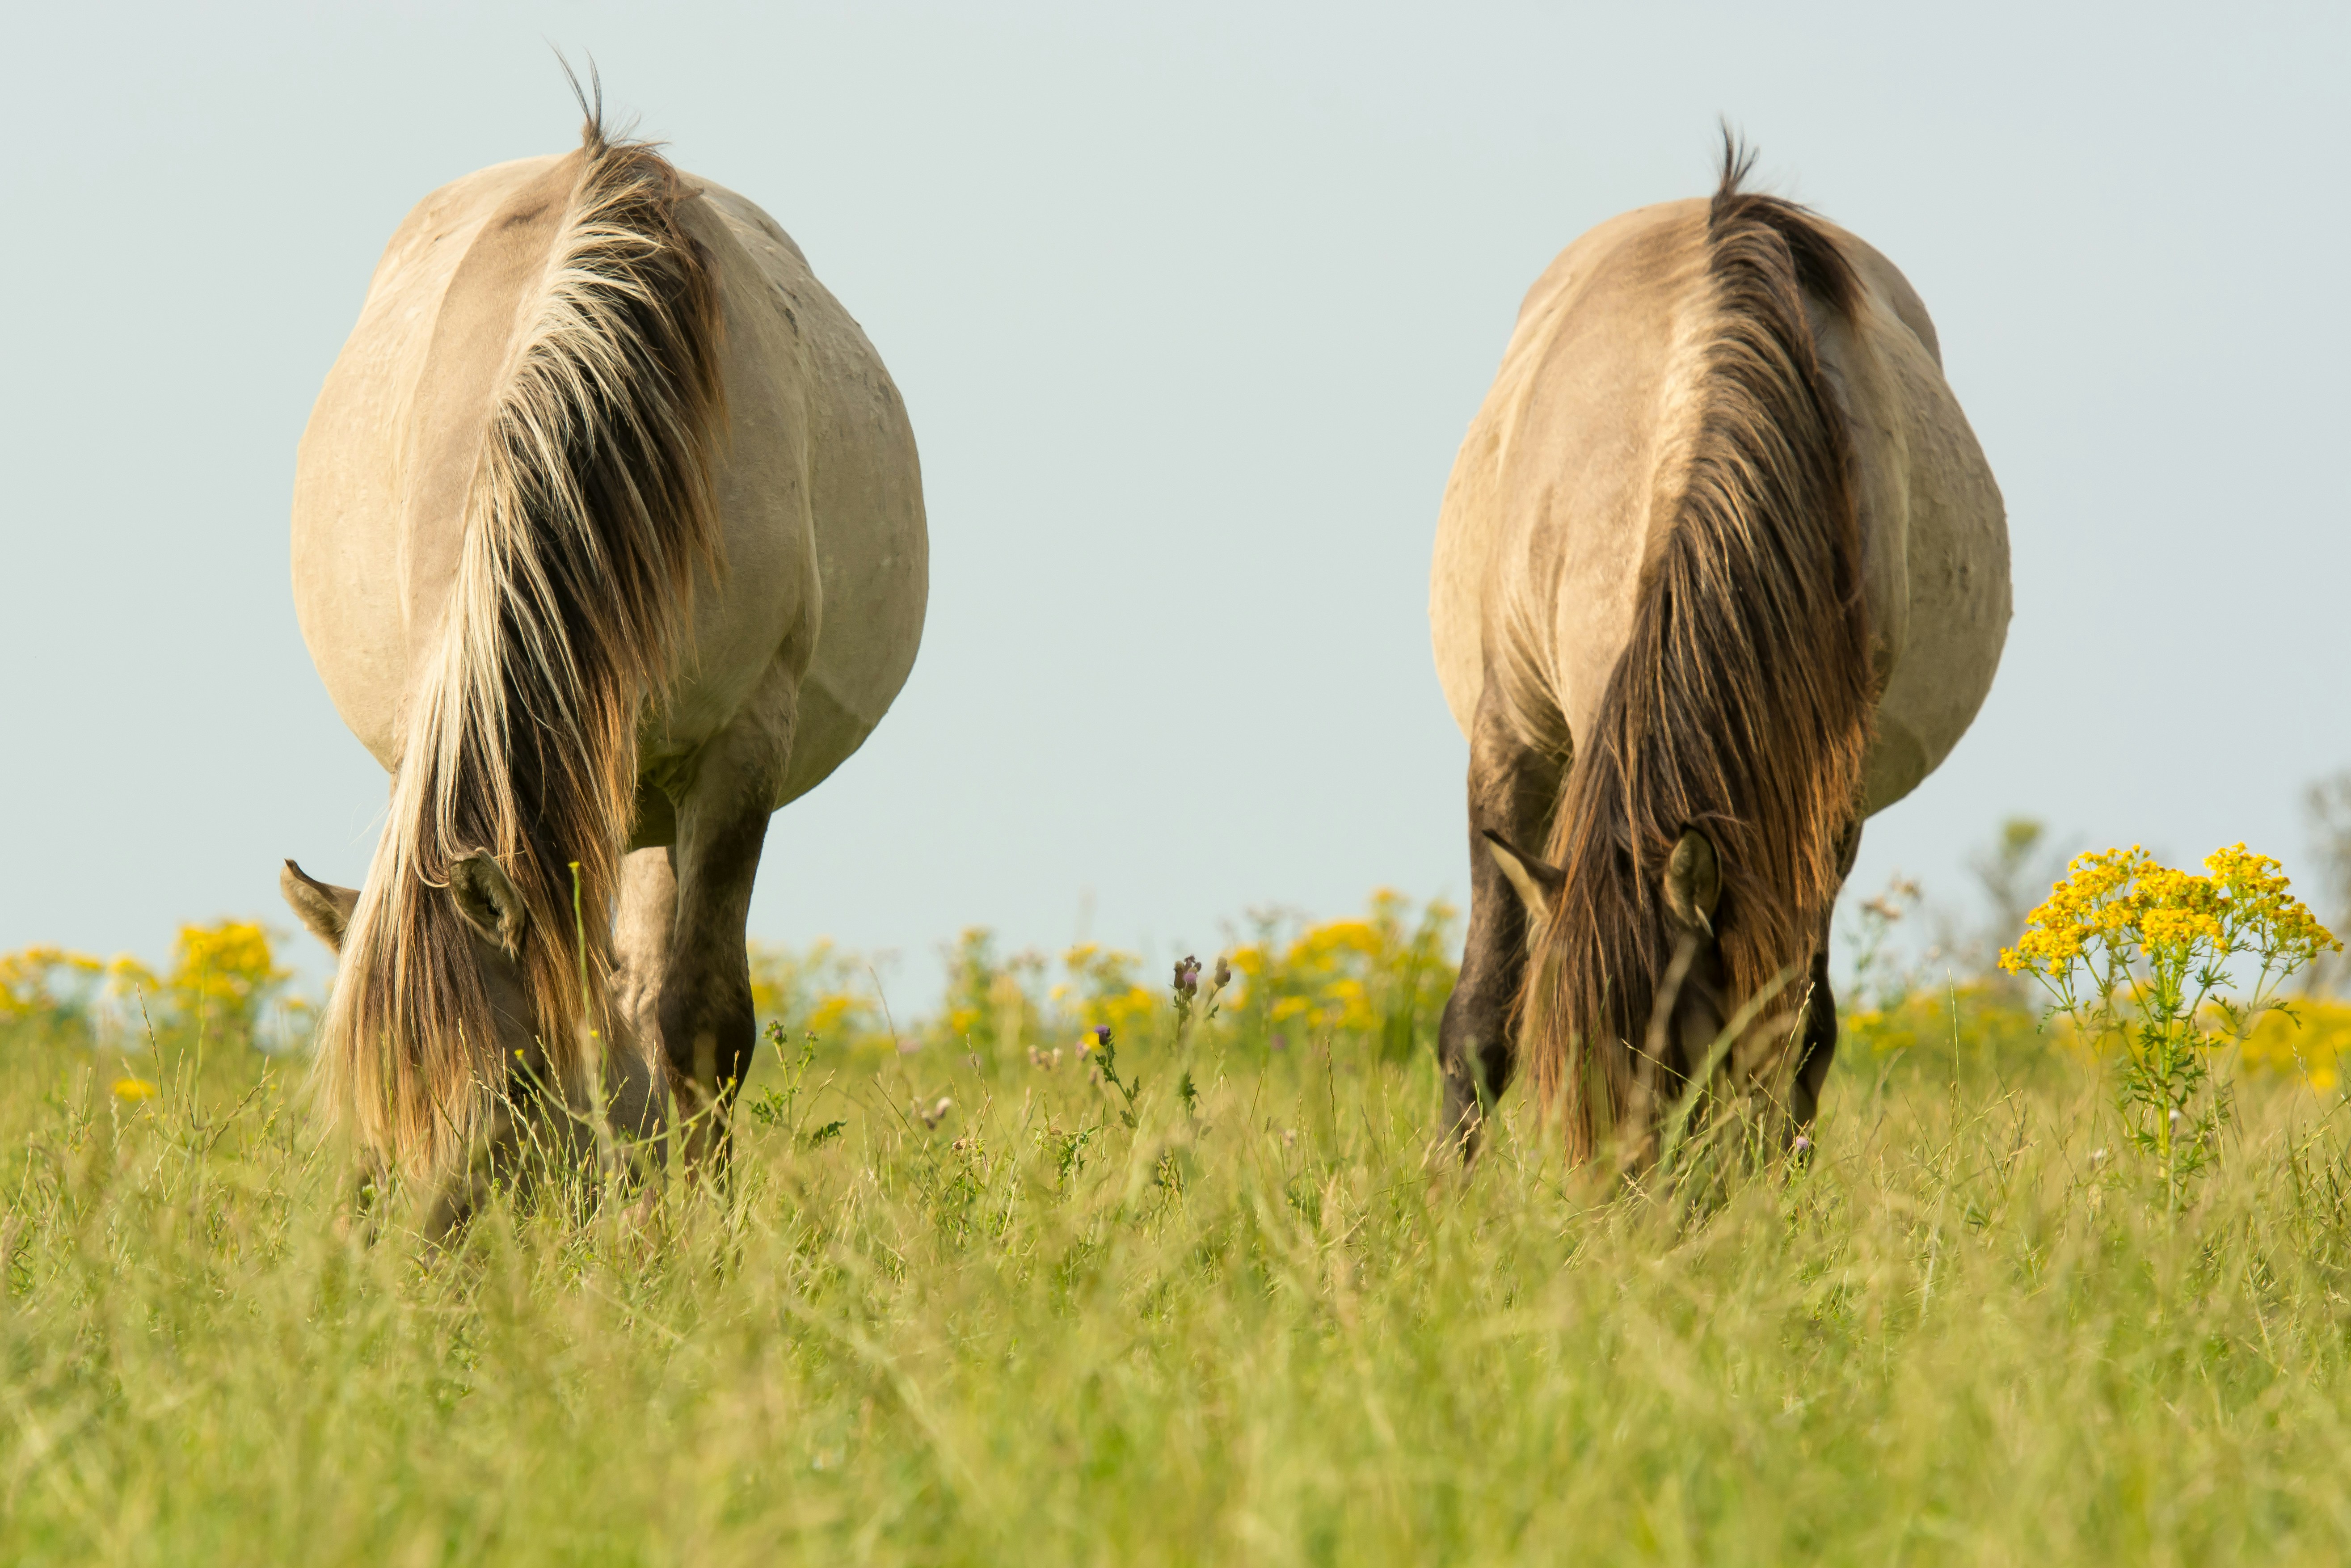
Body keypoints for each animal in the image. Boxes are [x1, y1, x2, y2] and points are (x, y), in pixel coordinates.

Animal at [279, 108, 927, 1231]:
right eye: (369, 1112)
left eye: (513, 1086)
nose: (412, 1259)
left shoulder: (737, 752)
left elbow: (699, 1020)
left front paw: (688, 1231)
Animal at [1429, 140, 2008, 1164]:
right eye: (1559, 1059)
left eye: (1684, 1054)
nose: (1620, 1196)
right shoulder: (1512, 739)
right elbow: (1478, 1018)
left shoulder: (1817, 797)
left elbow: (1789, 1030)